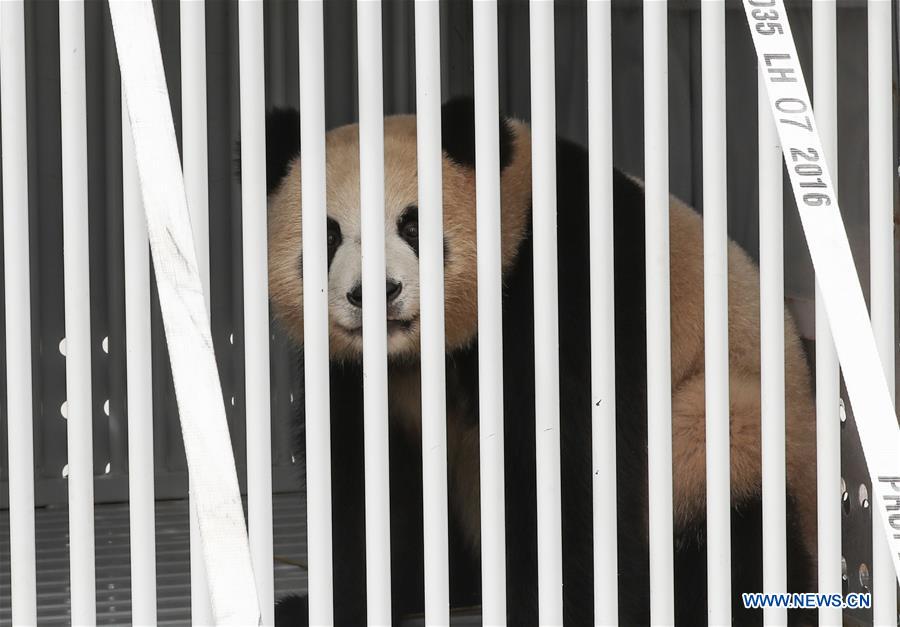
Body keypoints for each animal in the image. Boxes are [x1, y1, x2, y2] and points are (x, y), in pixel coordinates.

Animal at [262, 98, 818, 626]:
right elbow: (359, 477)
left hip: (727, 420)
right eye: (328, 236)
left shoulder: (574, 282)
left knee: (726, 463)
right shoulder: (351, 372)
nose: (376, 293)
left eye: (413, 225)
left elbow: (571, 462)